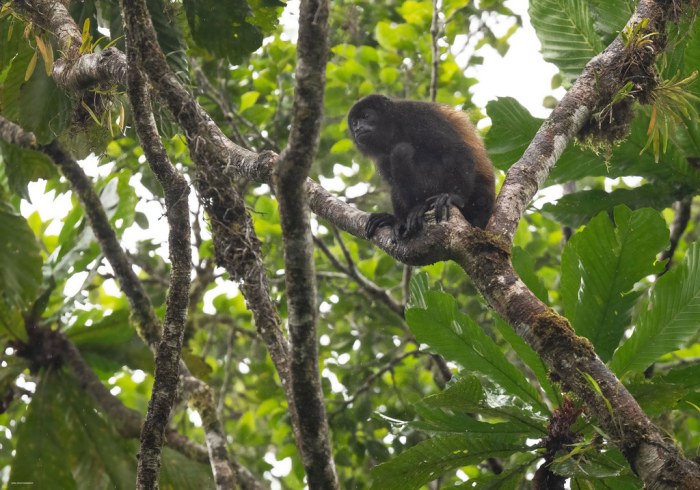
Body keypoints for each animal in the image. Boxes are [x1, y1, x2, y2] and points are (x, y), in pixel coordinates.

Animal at [348, 94, 492, 239]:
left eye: (366, 116)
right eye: (354, 123)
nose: (357, 129)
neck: (394, 130)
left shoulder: (419, 117)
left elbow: (456, 151)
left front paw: (453, 197)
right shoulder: (382, 156)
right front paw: (396, 219)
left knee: (403, 151)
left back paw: (423, 207)